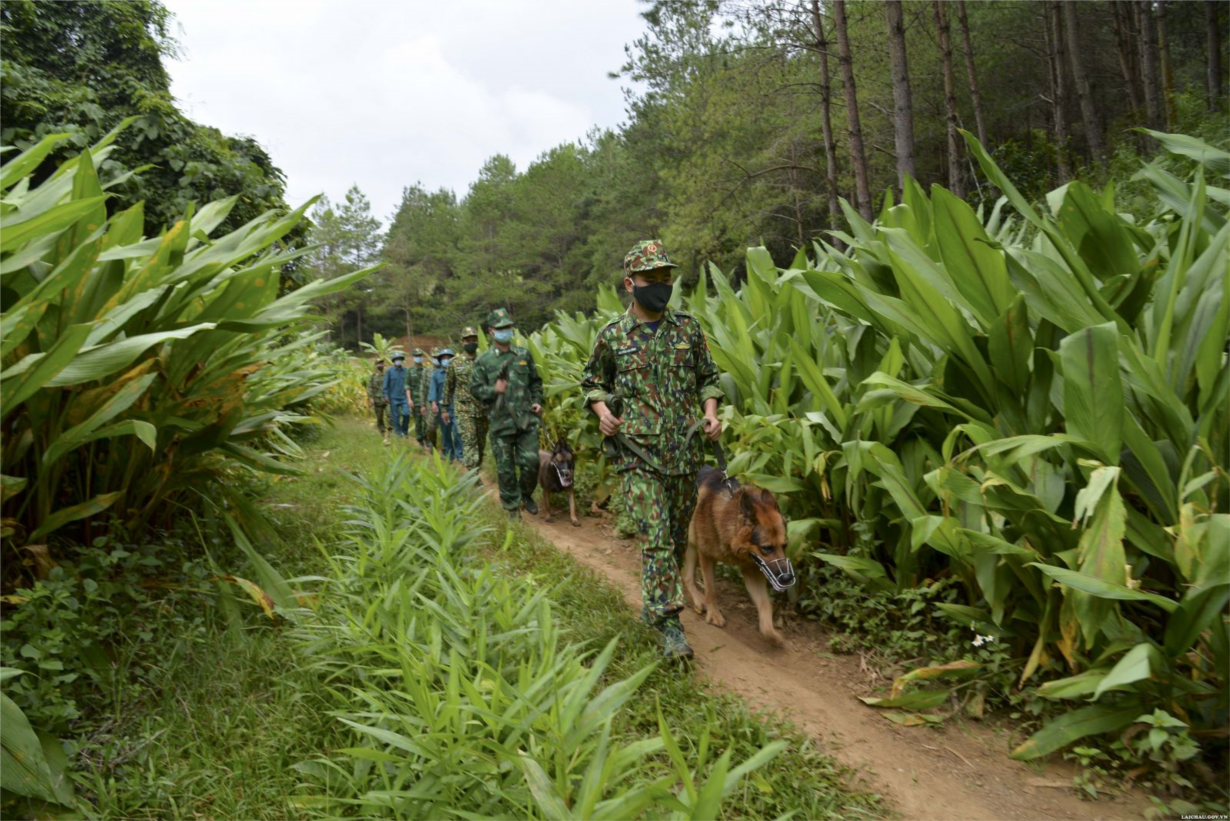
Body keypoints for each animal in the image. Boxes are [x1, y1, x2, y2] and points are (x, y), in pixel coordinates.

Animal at [683, 467, 797, 649]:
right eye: (767, 548)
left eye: (784, 546)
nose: (786, 578)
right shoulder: (706, 556)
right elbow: (711, 590)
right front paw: (714, 615)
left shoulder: (752, 571)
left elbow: (765, 604)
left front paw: (770, 633)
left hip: (691, 544)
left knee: (686, 576)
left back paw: (698, 600)